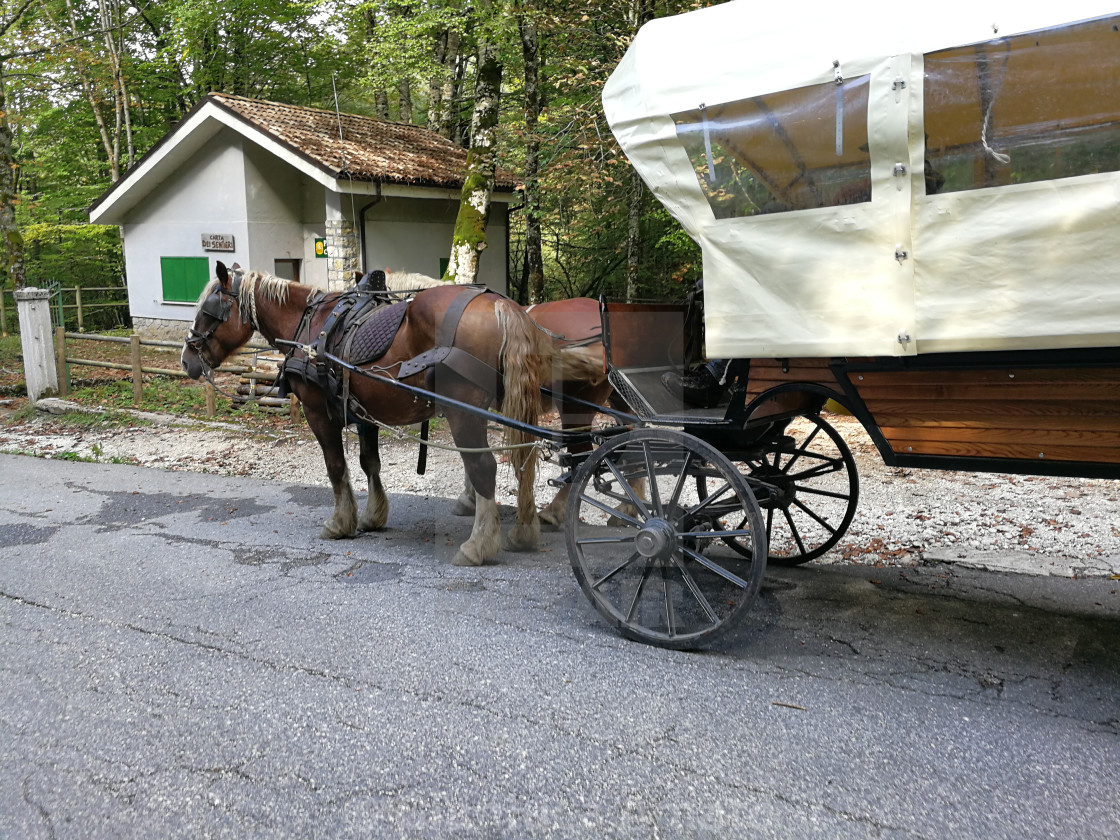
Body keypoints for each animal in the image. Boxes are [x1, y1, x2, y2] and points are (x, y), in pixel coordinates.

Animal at [180, 263, 560, 566]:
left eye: (208, 311)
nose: (187, 360)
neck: (310, 324)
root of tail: (499, 303)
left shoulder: (318, 412)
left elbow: (336, 467)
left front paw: (340, 522)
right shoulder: (364, 414)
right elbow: (369, 463)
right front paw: (373, 516)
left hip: (463, 412)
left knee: (484, 468)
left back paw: (478, 545)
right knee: (524, 459)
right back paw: (524, 532)